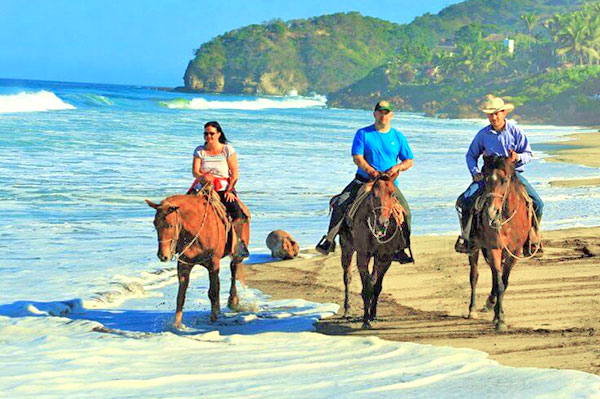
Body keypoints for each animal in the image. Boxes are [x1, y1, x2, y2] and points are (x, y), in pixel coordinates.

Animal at [145, 193, 248, 328]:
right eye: (155, 224)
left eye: (170, 225)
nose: (163, 256)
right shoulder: (184, 265)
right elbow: (181, 296)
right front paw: (177, 325)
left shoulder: (213, 263)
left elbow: (212, 292)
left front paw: (213, 319)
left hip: (236, 255)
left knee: (233, 271)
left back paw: (233, 301)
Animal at [338, 170, 408, 330]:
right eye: (374, 195)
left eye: (392, 194)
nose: (382, 223)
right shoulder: (363, 255)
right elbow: (368, 286)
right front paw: (365, 320)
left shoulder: (385, 257)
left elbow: (377, 285)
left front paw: (372, 314)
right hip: (347, 248)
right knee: (347, 277)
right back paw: (347, 310)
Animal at [466, 155, 532, 332]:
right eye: (485, 178)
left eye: (505, 180)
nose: (491, 212)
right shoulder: (494, 247)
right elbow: (500, 282)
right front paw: (500, 319)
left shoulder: (514, 252)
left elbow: (504, 280)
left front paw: (497, 314)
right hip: (475, 248)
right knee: (474, 275)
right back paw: (472, 310)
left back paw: (491, 302)